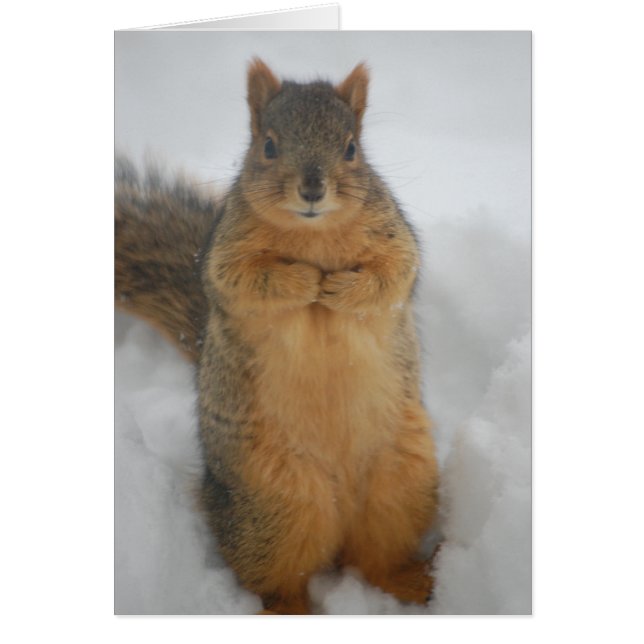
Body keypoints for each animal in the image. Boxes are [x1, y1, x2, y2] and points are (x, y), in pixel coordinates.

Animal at [115, 59, 440, 615]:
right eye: (267, 145)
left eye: (351, 148)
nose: (312, 189)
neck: (313, 234)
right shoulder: (225, 256)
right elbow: (247, 281)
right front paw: (306, 282)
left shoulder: (395, 239)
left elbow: (391, 277)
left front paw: (340, 287)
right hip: (274, 504)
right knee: (275, 577)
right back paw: (287, 607)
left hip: (403, 480)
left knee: (378, 557)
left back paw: (413, 582)